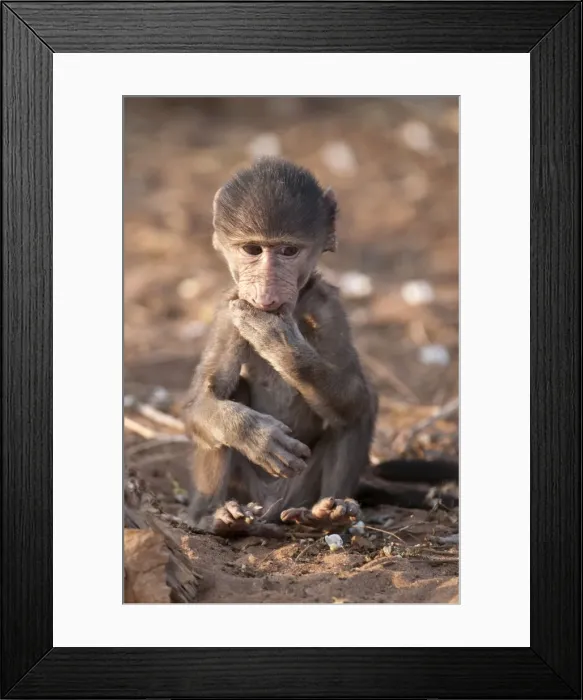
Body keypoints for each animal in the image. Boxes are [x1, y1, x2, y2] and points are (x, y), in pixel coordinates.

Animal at [183, 157, 457, 537]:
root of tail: (273, 506)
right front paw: (257, 437)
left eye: (289, 251)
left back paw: (331, 513)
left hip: (302, 490)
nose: (267, 291)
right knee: (230, 394)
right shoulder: (229, 312)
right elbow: (199, 403)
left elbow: (355, 393)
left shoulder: (329, 309)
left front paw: (276, 339)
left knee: (359, 407)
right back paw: (214, 519)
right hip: (248, 489)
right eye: (252, 250)